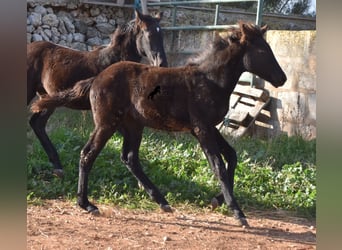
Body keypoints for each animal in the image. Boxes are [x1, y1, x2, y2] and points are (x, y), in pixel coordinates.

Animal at [26, 9, 167, 177]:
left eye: (162, 34)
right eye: (148, 33)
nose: (162, 64)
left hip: (47, 97)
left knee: (37, 123)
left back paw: (58, 166)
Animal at [32, 22, 286, 227]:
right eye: (263, 50)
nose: (282, 78)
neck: (209, 80)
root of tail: (97, 78)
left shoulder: (210, 128)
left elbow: (231, 156)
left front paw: (217, 200)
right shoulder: (202, 129)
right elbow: (219, 166)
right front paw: (238, 213)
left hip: (133, 125)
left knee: (129, 157)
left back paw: (162, 201)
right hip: (106, 123)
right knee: (88, 154)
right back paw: (86, 204)